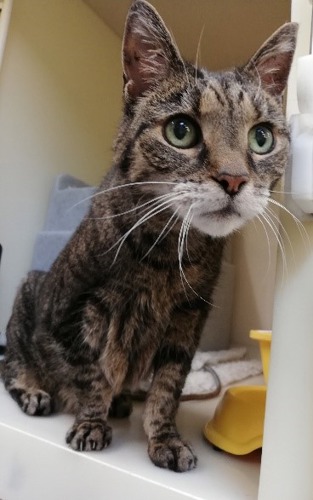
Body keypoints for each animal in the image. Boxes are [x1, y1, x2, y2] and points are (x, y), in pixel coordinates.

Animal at [2, 0, 296, 472]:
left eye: (262, 137)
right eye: (181, 130)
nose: (234, 179)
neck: (168, 254)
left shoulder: (187, 320)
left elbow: (167, 389)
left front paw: (165, 439)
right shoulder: (79, 311)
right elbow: (92, 375)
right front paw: (92, 422)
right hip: (30, 295)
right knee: (12, 362)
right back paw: (35, 389)